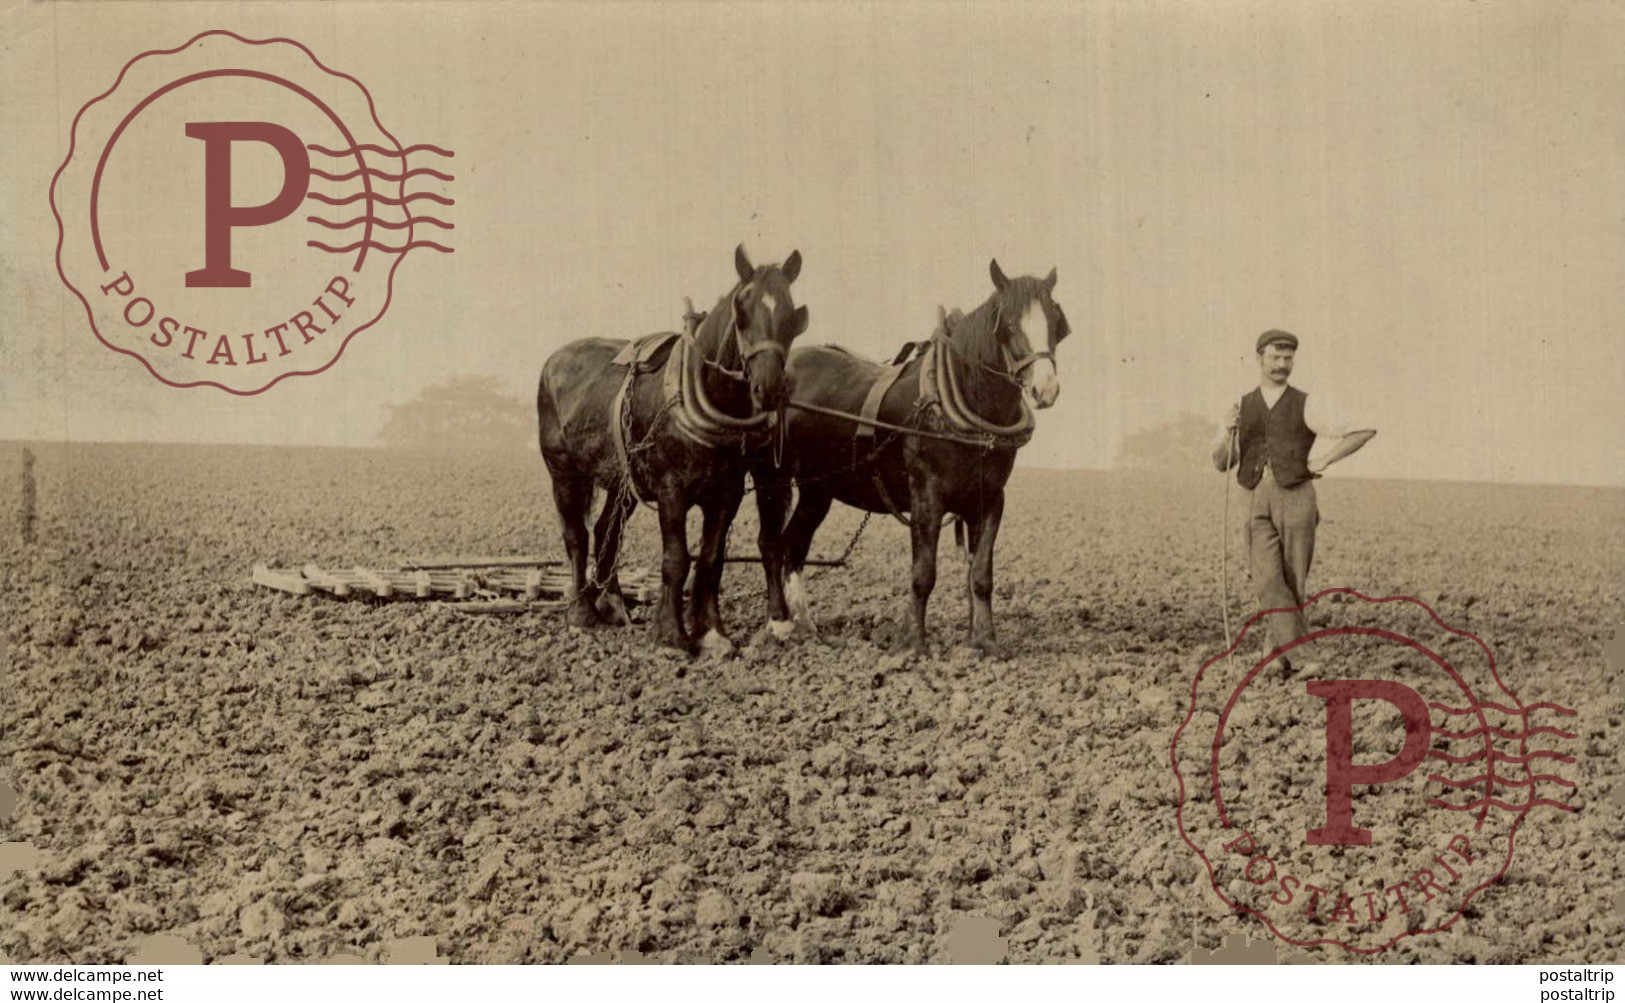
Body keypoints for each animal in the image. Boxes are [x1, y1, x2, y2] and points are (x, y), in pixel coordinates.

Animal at [536, 243, 809, 656]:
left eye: (791, 315)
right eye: (742, 311)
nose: (769, 388)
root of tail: (553, 362)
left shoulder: (725, 494)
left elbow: (711, 559)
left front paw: (712, 633)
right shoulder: (671, 490)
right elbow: (676, 559)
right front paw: (671, 635)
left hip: (623, 484)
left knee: (606, 532)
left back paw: (612, 605)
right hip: (564, 474)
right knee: (576, 536)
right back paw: (581, 613)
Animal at [750, 258, 1066, 656]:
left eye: (1054, 321)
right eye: (1008, 323)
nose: (1045, 389)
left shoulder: (990, 499)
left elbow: (980, 574)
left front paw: (985, 640)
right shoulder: (925, 498)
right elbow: (923, 574)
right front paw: (912, 643)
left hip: (817, 489)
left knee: (794, 545)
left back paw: (807, 627)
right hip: (770, 476)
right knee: (771, 544)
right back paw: (779, 624)